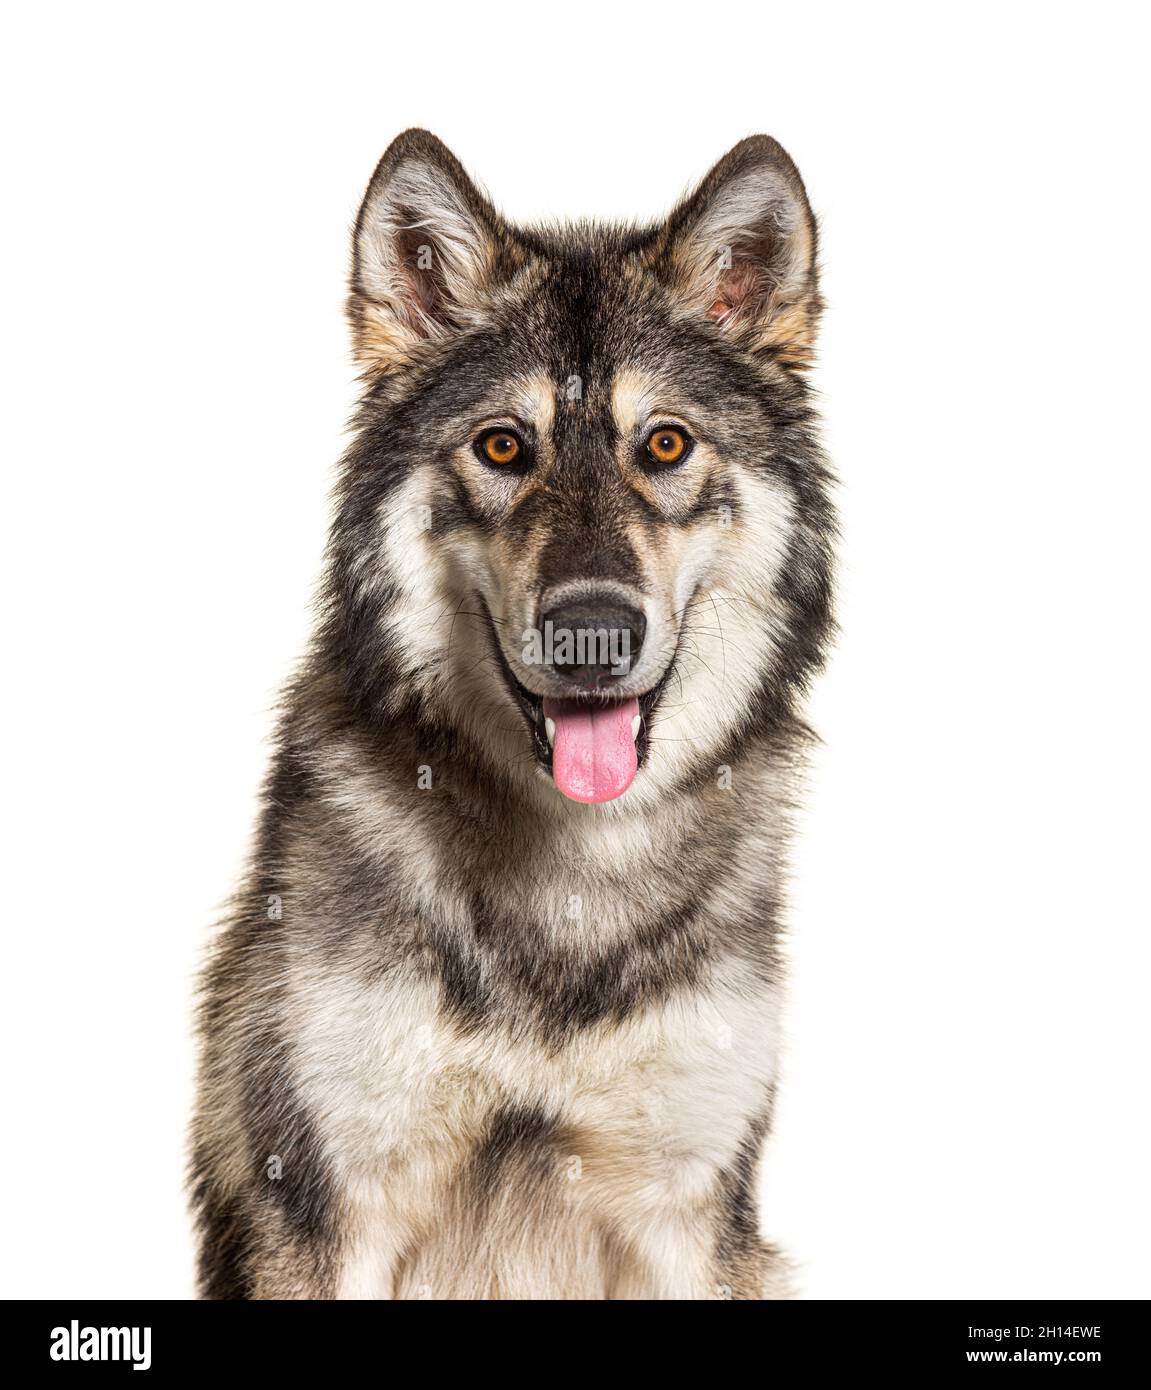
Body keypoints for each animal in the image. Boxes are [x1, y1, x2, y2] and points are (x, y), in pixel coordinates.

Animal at [190, 129, 835, 1300]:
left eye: (663, 445)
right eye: (502, 446)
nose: (593, 633)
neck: (566, 889)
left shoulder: (689, 1216)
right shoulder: (323, 1207)